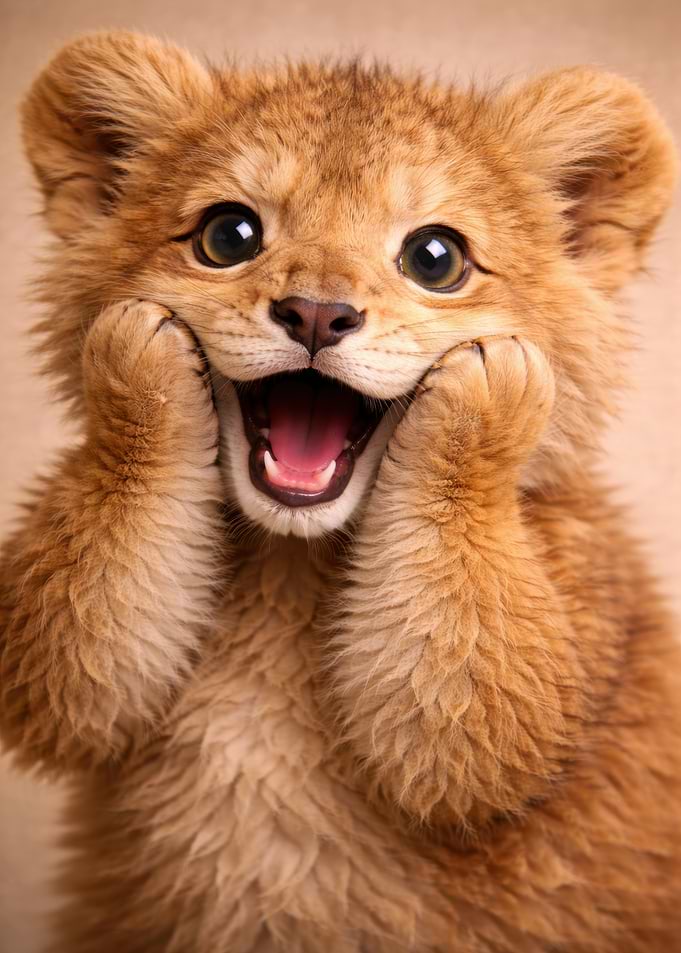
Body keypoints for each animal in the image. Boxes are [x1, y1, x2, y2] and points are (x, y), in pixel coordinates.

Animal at [1, 29, 679, 953]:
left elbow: (473, 697)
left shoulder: (564, 653)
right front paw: (137, 354)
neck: (289, 573)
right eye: (227, 235)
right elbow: (73, 664)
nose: (317, 314)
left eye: (436, 258)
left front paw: (487, 393)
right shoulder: (71, 681)